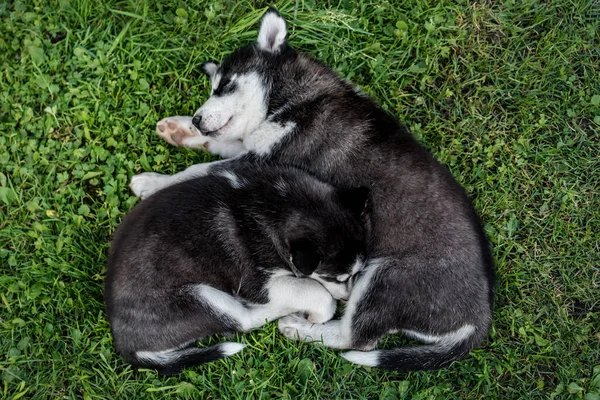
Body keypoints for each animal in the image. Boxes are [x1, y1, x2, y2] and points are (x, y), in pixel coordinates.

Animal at [105, 162, 368, 376]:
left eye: (356, 272)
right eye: (335, 277)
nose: (348, 299)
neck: (279, 204)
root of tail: (126, 345)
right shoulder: (258, 283)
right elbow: (314, 292)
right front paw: (318, 313)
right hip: (202, 297)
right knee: (244, 321)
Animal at [132, 8, 496, 372]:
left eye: (225, 86)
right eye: (213, 88)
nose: (196, 118)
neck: (297, 97)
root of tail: (476, 322)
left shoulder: (266, 158)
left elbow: (200, 168)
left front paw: (151, 183)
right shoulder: (255, 148)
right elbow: (224, 142)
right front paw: (179, 130)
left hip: (385, 278)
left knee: (355, 338)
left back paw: (297, 327)